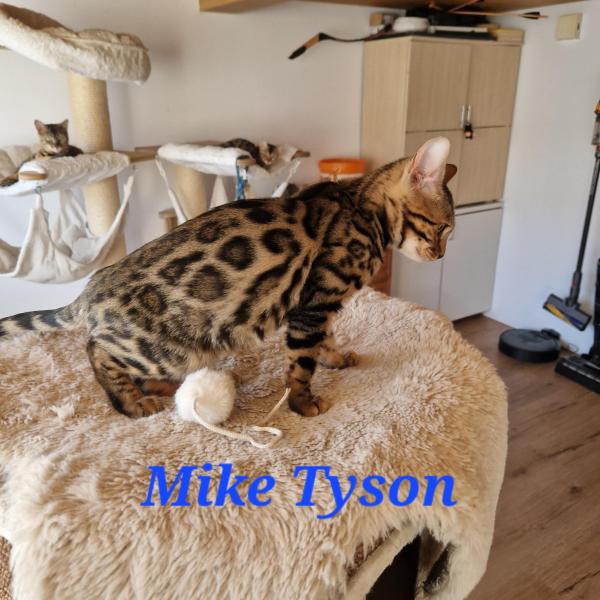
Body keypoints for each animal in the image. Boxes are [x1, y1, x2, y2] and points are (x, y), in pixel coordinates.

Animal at [0, 137, 457, 419]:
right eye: (442, 228)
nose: (441, 255)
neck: (363, 208)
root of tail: (90, 288)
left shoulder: (318, 306)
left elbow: (325, 342)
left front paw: (337, 357)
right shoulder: (313, 303)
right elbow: (301, 362)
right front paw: (303, 402)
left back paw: (158, 389)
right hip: (162, 348)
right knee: (95, 350)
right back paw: (130, 402)